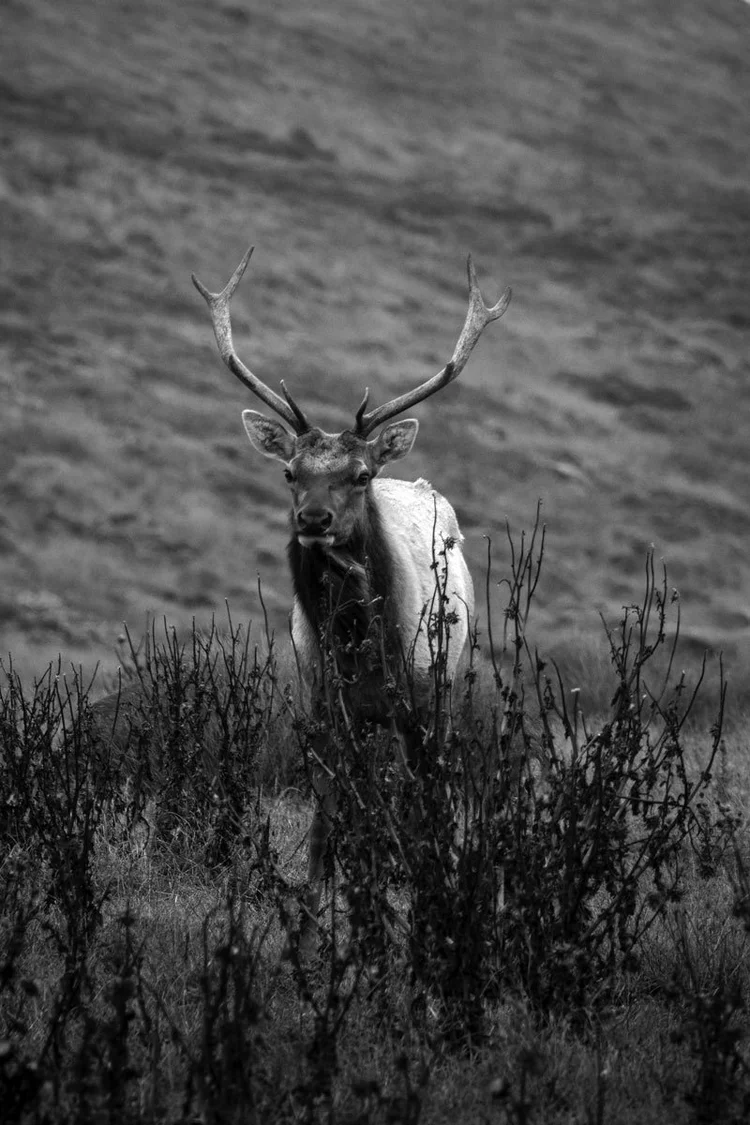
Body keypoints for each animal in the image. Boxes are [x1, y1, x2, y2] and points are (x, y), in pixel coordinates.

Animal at [192, 247, 511, 952]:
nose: (312, 519)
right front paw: (311, 935)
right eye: (290, 472)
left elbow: (424, 815)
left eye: (359, 474)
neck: (364, 652)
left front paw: (429, 920)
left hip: (449, 688)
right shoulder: (325, 712)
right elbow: (325, 823)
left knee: (435, 798)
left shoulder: (420, 707)